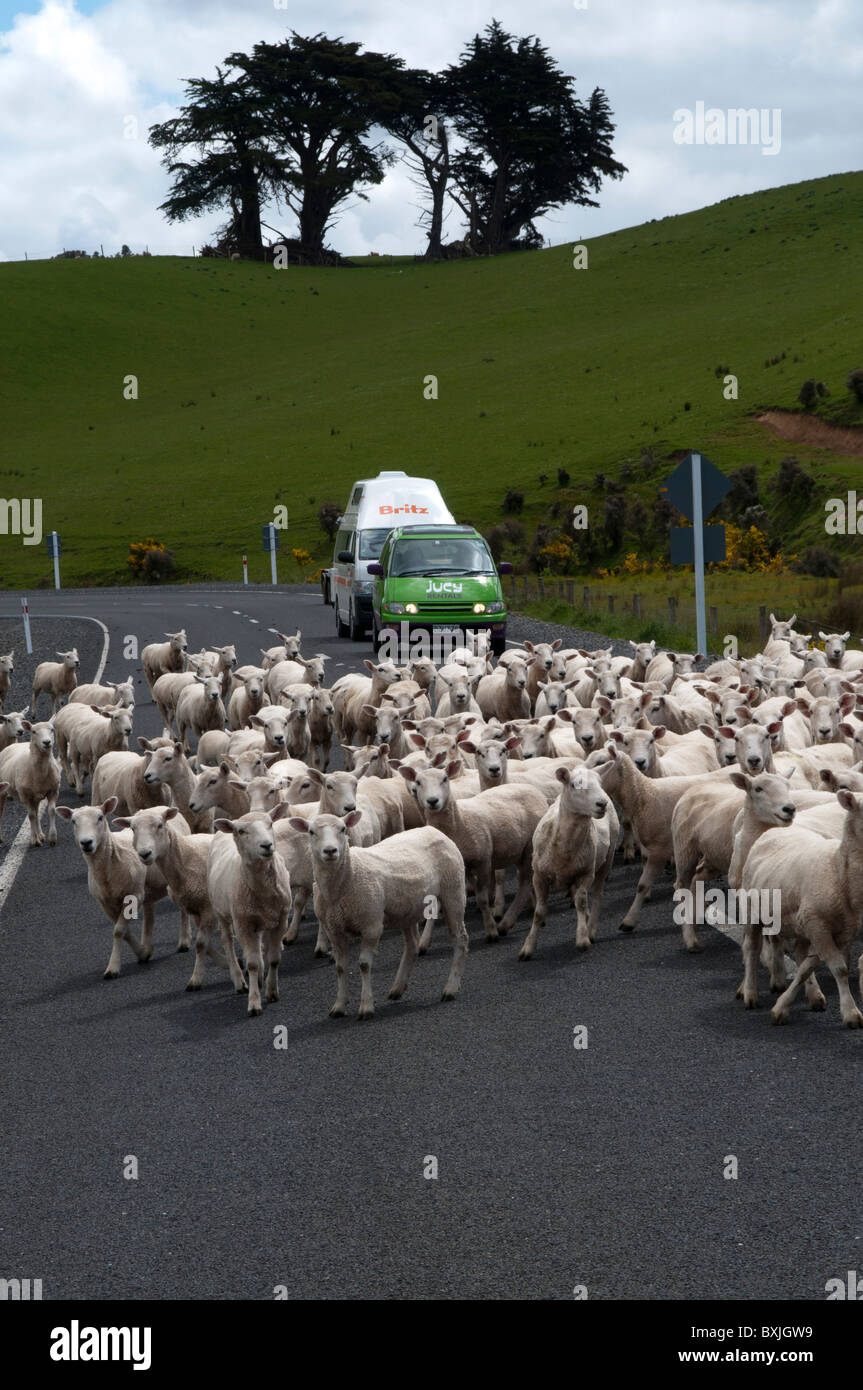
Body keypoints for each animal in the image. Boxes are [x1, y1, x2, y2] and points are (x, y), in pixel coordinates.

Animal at [0, 717, 61, 845]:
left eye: (52, 729)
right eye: (34, 732)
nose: (47, 742)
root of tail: (12, 745)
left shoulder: (53, 791)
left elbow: (51, 810)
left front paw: (52, 837)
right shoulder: (25, 795)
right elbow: (31, 815)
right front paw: (34, 839)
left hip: (36, 796)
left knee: (37, 813)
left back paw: (41, 834)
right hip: (2, 791)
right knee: (1, 812)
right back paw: (0, 838)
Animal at [57, 795, 188, 978]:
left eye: (100, 817)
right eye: (73, 821)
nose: (86, 842)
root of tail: (161, 807)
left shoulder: (134, 895)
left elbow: (118, 930)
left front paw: (113, 968)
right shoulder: (106, 903)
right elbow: (124, 932)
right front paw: (142, 952)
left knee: (183, 908)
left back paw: (184, 941)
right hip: (146, 889)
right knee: (149, 915)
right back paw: (148, 944)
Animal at [208, 800, 293, 1017]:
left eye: (270, 823)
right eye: (242, 831)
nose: (267, 845)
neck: (264, 891)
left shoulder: (280, 919)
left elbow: (274, 958)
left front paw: (272, 991)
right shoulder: (244, 924)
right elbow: (253, 963)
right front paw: (254, 1002)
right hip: (222, 913)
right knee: (228, 942)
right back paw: (239, 981)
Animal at [397, 761, 544, 945]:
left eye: (445, 779)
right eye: (418, 782)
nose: (432, 801)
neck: (458, 822)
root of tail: (533, 789)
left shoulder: (483, 861)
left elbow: (482, 899)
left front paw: (491, 931)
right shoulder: (458, 867)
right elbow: (437, 904)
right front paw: (424, 941)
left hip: (530, 848)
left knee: (524, 883)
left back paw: (505, 923)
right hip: (518, 849)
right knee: (525, 881)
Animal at [516, 767, 619, 961]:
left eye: (600, 783)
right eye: (574, 785)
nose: (602, 804)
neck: (564, 849)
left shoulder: (586, 873)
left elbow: (581, 901)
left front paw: (583, 940)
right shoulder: (538, 877)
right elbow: (539, 912)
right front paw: (527, 948)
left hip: (607, 858)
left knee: (596, 894)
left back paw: (590, 930)